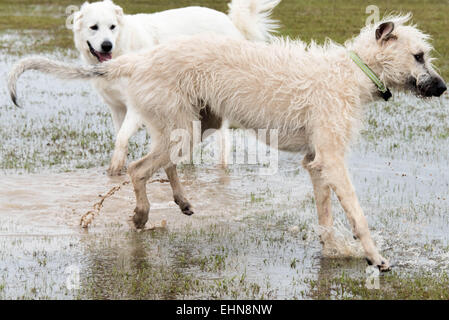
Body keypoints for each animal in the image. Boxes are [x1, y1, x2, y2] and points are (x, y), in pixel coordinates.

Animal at [72, 0, 278, 175]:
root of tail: (231, 23)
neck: (121, 49)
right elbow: (120, 136)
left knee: (223, 142)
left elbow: (122, 136)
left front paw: (115, 168)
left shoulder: (136, 107)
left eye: (112, 27)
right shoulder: (116, 107)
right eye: (94, 27)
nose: (107, 45)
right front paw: (117, 167)